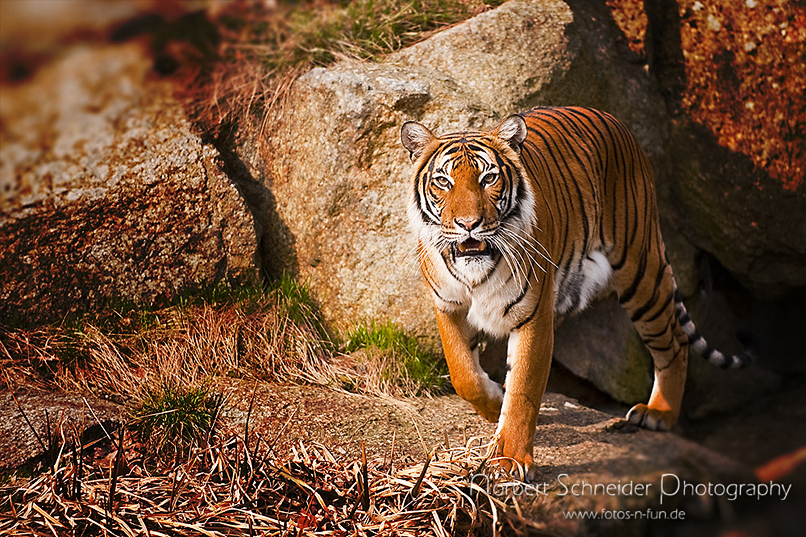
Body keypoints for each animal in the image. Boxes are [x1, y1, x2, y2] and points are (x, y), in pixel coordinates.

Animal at [404, 107, 756, 472]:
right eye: (443, 181)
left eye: (488, 178)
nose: (468, 224)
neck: (475, 273)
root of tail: (615, 120)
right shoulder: (448, 306)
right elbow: (463, 374)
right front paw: (494, 403)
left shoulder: (533, 316)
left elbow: (524, 388)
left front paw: (509, 459)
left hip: (640, 272)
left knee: (675, 340)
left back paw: (660, 414)